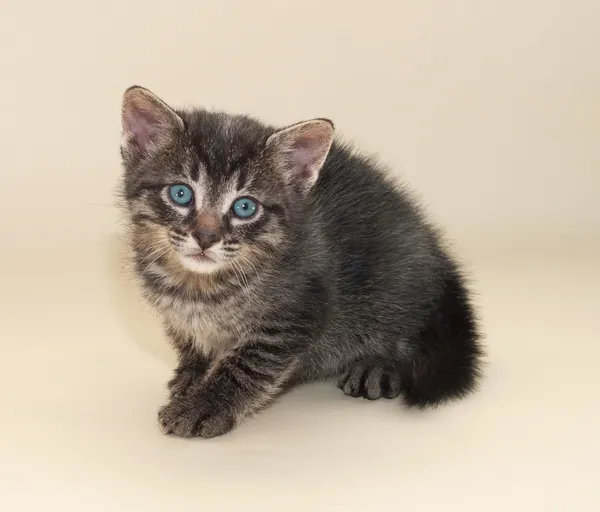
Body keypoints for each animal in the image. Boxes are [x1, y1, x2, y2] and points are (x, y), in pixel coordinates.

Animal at [118, 86, 482, 438]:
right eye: (180, 194)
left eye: (245, 207)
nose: (206, 237)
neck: (199, 287)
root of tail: (436, 251)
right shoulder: (177, 316)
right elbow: (190, 342)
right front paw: (192, 374)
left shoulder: (297, 313)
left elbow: (246, 365)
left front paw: (204, 405)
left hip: (399, 284)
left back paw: (377, 366)